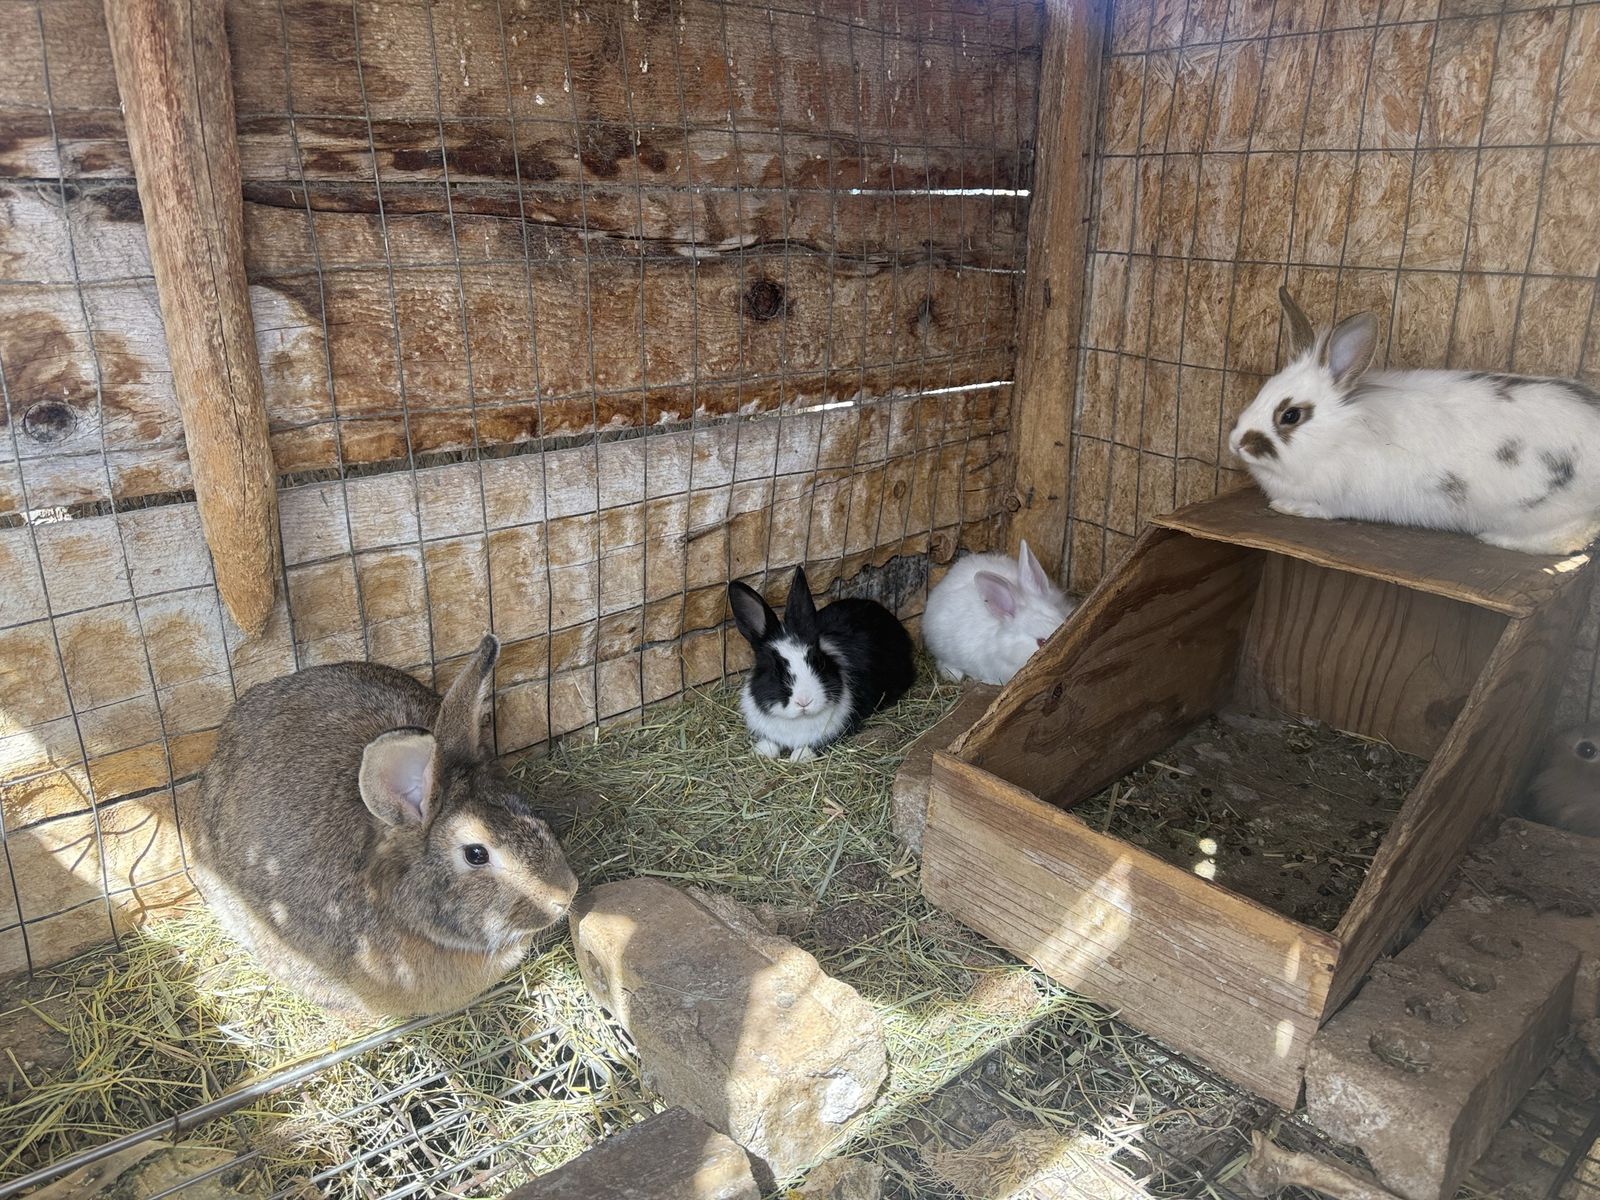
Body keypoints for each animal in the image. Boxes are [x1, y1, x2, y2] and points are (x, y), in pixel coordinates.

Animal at [727, 565, 915, 761]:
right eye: (775, 671)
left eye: (820, 663)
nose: (804, 701)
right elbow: (770, 743)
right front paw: (760, 752)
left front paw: (800, 756)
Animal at [1227, 287, 1600, 556]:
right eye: (1260, 393)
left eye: (1291, 415)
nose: (1237, 443)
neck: (1338, 435)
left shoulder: (1337, 497)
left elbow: (1320, 508)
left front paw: (1286, 506)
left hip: (1549, 509)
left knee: (1563, 540)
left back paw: (1497, 539)